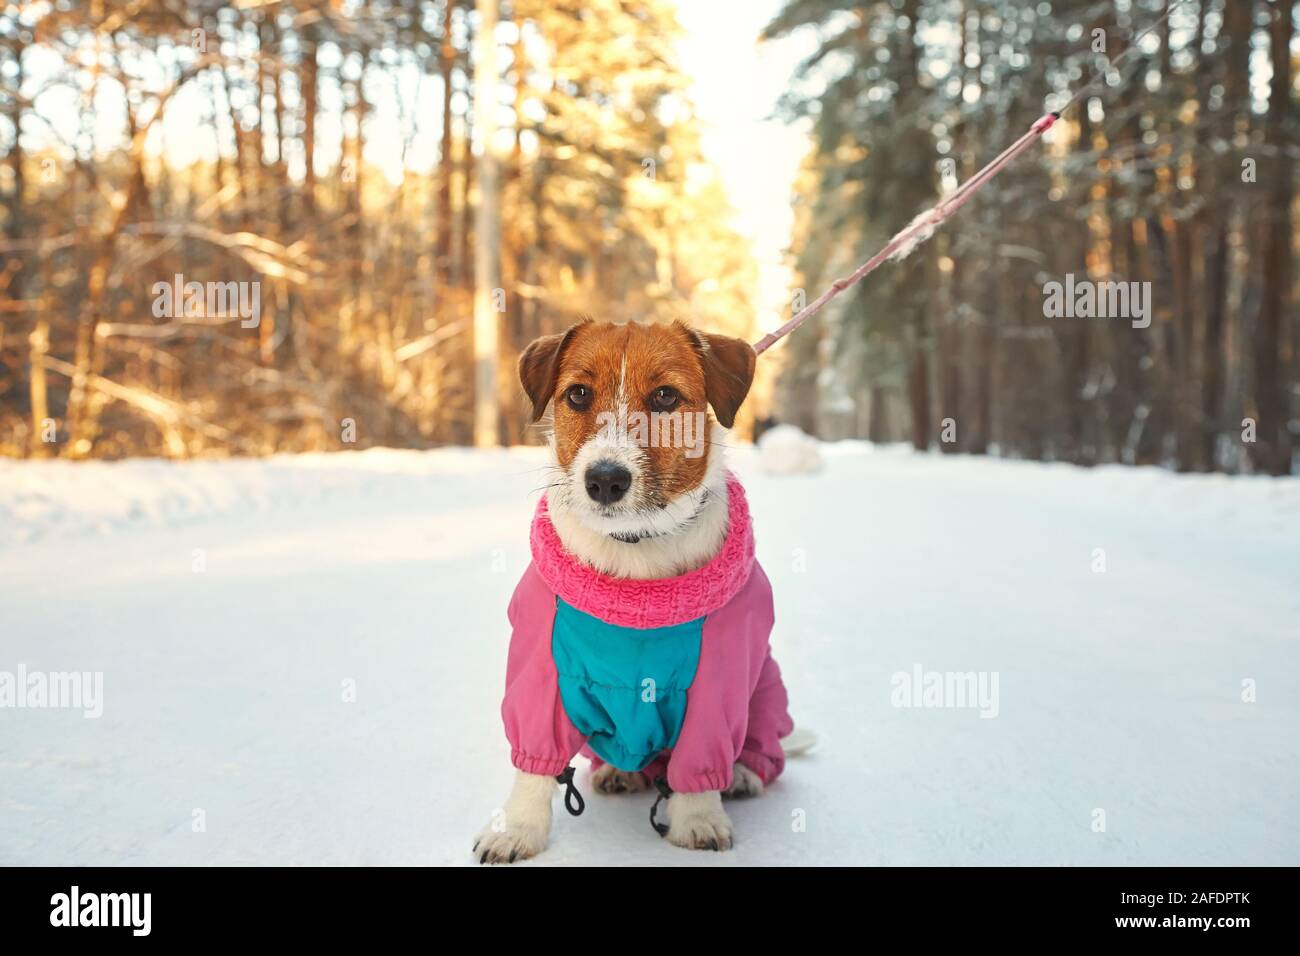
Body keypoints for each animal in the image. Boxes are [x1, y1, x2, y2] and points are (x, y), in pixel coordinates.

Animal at [478, 321, 795, 868]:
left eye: (666, 396)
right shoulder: (541, 673)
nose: (605, 480)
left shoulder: (717, 684)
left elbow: (700, 763)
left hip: (764, 692)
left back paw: (740, 774)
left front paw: (698, 820)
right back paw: (619, 771)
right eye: (578, 394)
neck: (635, 553)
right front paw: (517, 830)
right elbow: (534, 767)